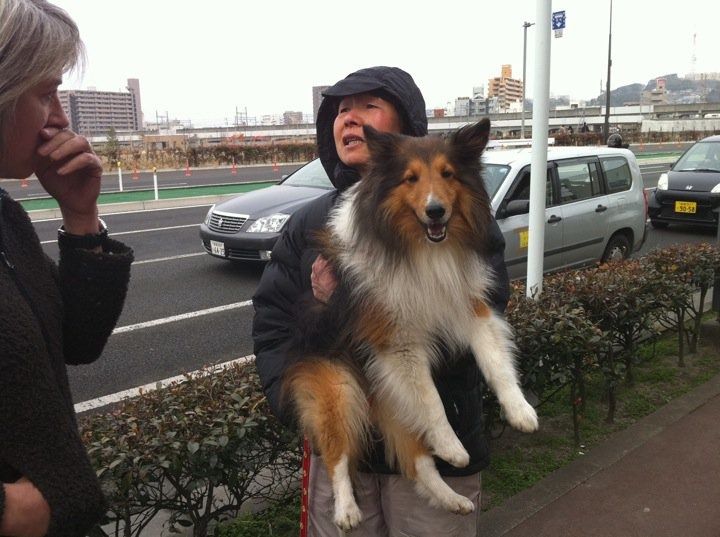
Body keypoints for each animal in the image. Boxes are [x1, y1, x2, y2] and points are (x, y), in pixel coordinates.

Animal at [284, 119, 536, 528]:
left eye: (448, 174)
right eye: (410, 179)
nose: (436, 211)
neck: (422, 249)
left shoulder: (470, 308)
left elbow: (496, 363)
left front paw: (520, 411)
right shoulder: (397, 341)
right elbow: (432, 400)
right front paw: (451, 444)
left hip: (390, 397)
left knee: (418, 463)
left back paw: (452, 499)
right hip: (339, 389)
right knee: (338, 455)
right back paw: (346, 509)